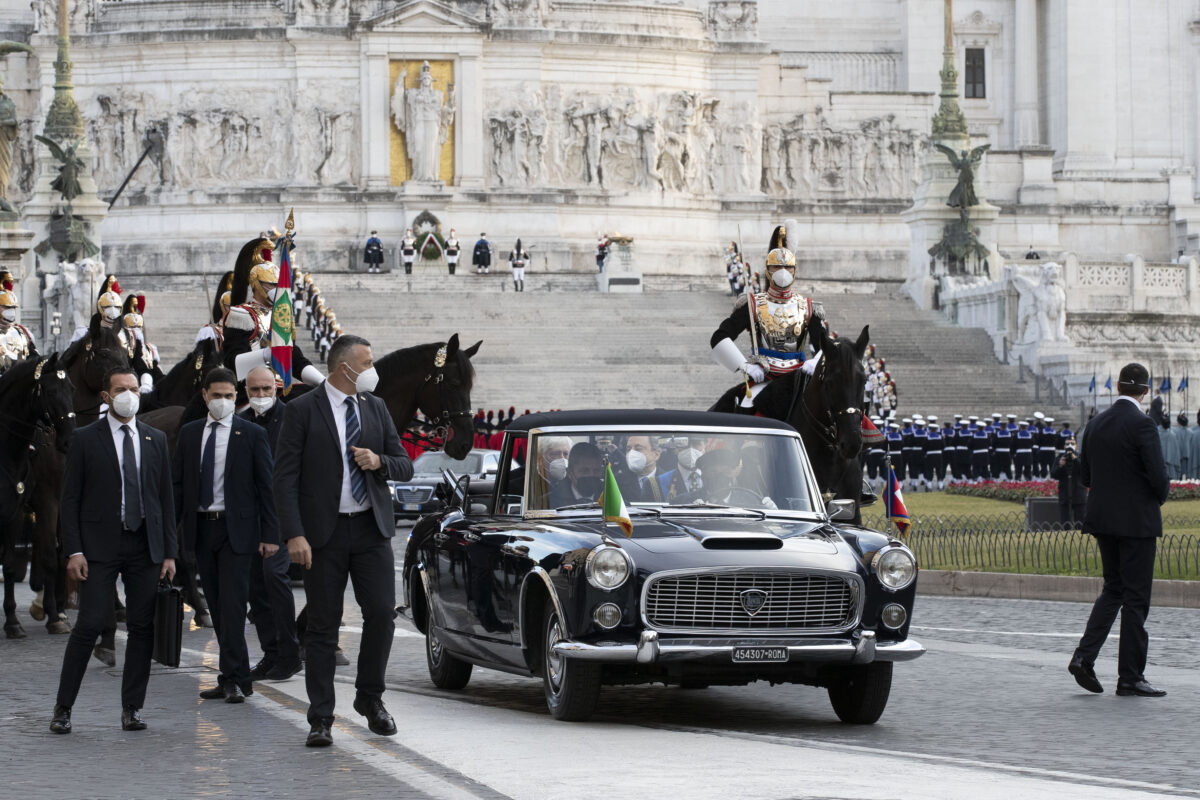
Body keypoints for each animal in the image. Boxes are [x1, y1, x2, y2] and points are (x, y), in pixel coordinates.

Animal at [0, 357, 76, 638]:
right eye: (51, 391)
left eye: (71, 389)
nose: (69, 440)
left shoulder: (18, 510)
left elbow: (13, 565)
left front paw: (13, 621)